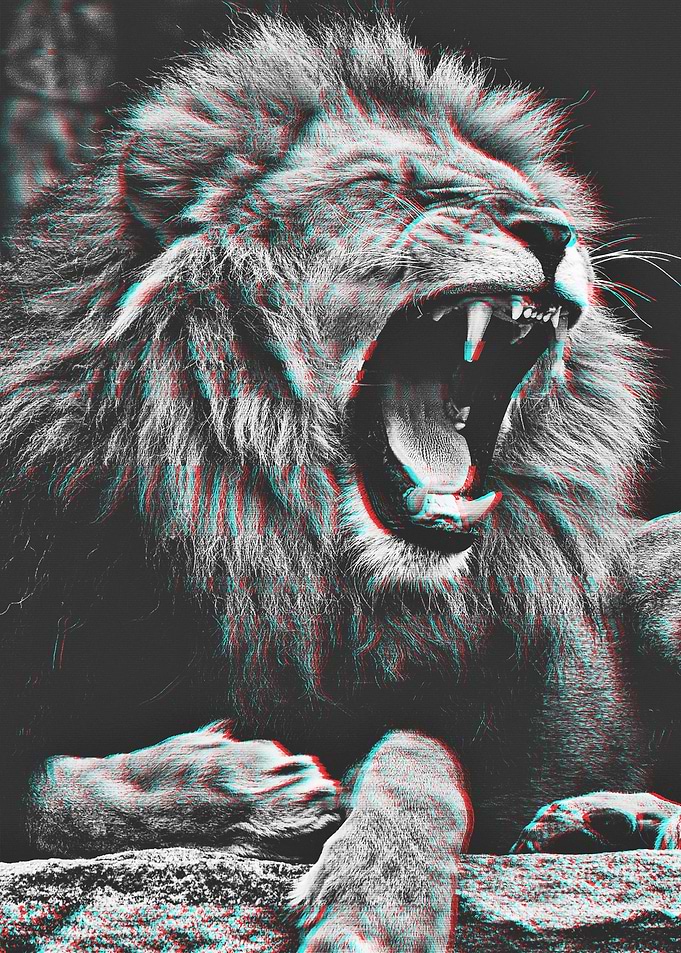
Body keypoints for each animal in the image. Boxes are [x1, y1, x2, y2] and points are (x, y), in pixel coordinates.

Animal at [1, 14, 680, 951]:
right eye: (397, 187)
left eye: (528, 197)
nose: (556, 232)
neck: (269, 539)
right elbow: (46, 794)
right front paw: (242, 785)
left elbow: (416, 757)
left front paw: (375, 902)